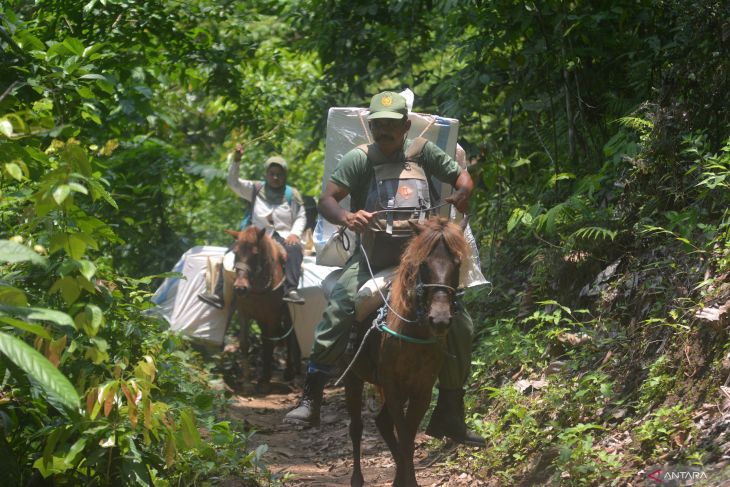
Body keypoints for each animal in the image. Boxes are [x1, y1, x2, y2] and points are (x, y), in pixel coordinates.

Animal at [225, 228, 298, 392]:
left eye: (255, 253)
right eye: (235, 252)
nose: (240, 288)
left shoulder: (272, 316)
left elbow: (269, 343)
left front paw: (265, 382)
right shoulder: (244, 313)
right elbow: (244, 342)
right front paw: (247, 381)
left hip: (286, 315)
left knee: (289, 338)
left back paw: (290, 372)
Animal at [342, 217, 466, 487]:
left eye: (457, 263)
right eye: (424, 264)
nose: (440, 320)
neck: (414, 334)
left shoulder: (422, 390)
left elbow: (408, 437)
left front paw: (407, 479)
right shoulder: (393, 387)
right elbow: (404, 435)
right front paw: (403, 480)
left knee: (383, 423)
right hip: (353, 378)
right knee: (356, 427)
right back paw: (357, 478)